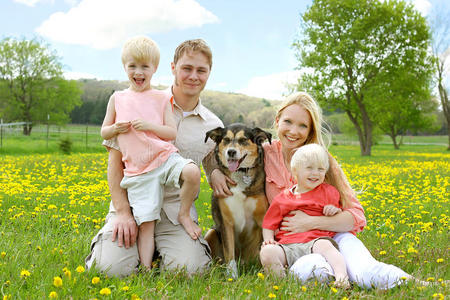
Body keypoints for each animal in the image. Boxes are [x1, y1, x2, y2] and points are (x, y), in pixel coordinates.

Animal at [204, 123, 270, 278]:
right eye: (226, 140)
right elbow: (229, 253)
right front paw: (232, 277)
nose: (231, 152)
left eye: (243, 140)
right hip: (211, 233)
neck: (240, 174)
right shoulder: (226, 222)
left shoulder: (262, 217)